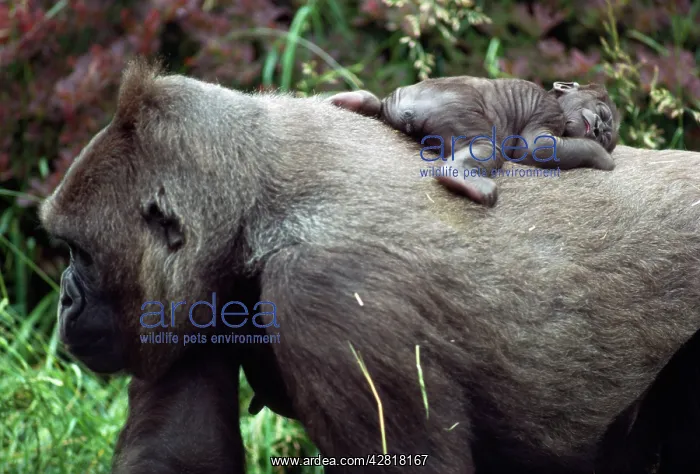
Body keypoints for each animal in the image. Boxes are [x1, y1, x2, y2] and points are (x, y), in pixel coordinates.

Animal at [327, 77, 620, 206]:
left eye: (607, 134)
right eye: (604, 114)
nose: (598, 128)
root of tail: (406, 108)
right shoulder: (550, 111)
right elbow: (538, 147)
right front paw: (602, 157)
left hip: (396, 101)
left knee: (377, 106)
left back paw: (351, 100)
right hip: (454, 109)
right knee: (486, 148)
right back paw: (460, 177)